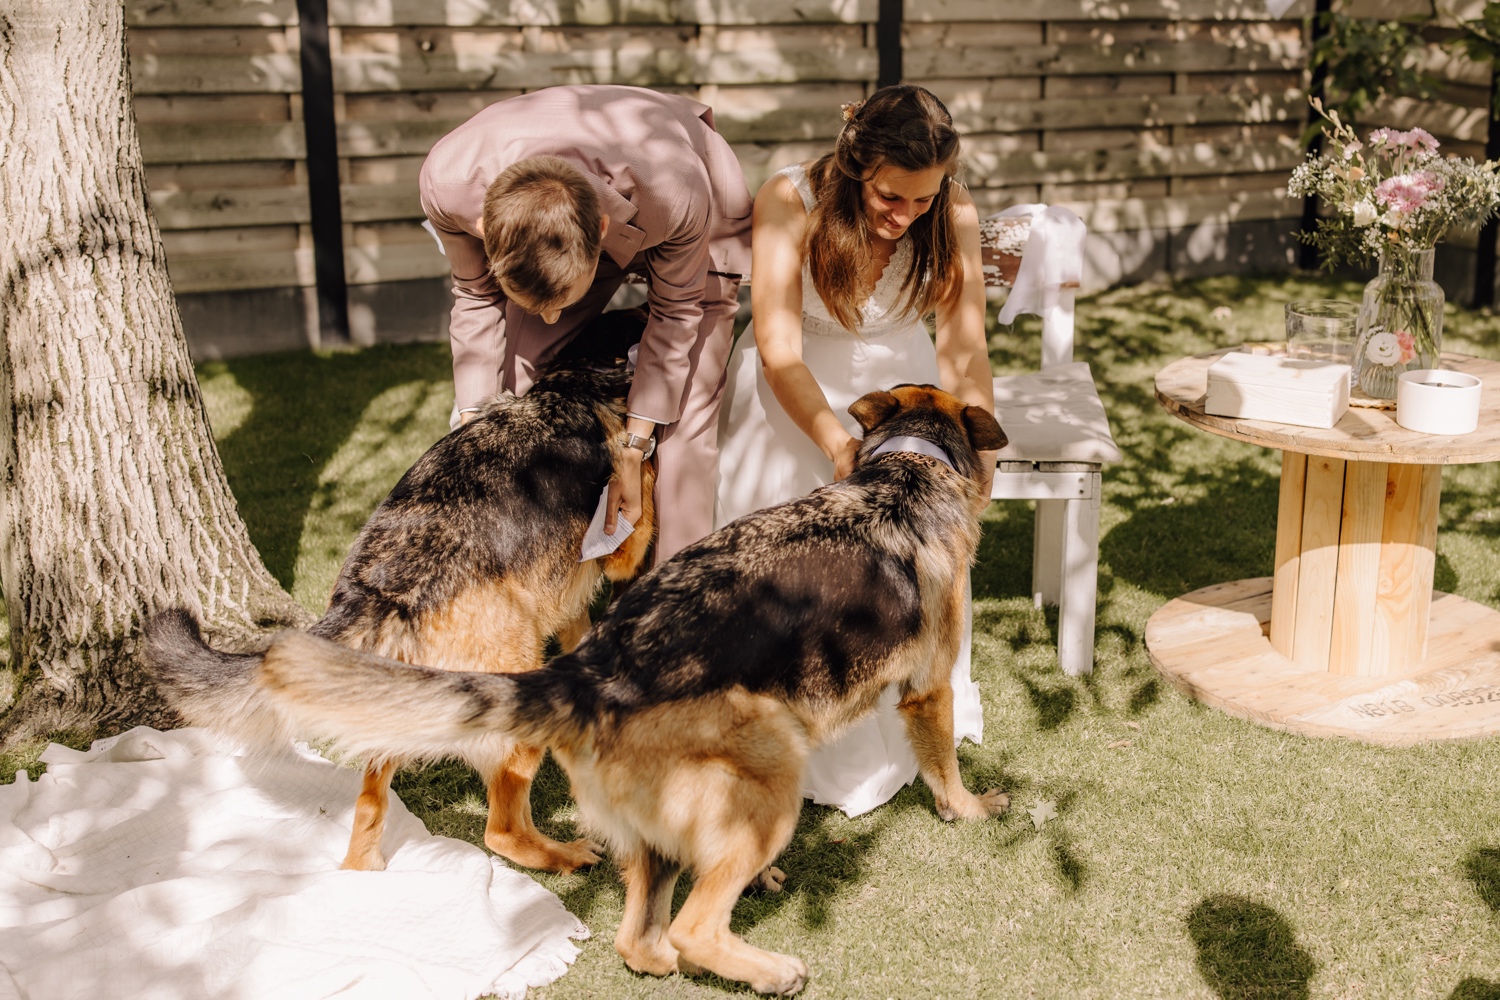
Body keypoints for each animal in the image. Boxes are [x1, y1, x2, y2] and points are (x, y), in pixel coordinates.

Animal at [146, 380, 1008, 995]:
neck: (907, 467)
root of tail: (595, 670)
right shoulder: (927, 687)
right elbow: (942, 762)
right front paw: (969, 808)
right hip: (771, 767)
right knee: (671, 915)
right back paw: (764, 967)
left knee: (639, 931)